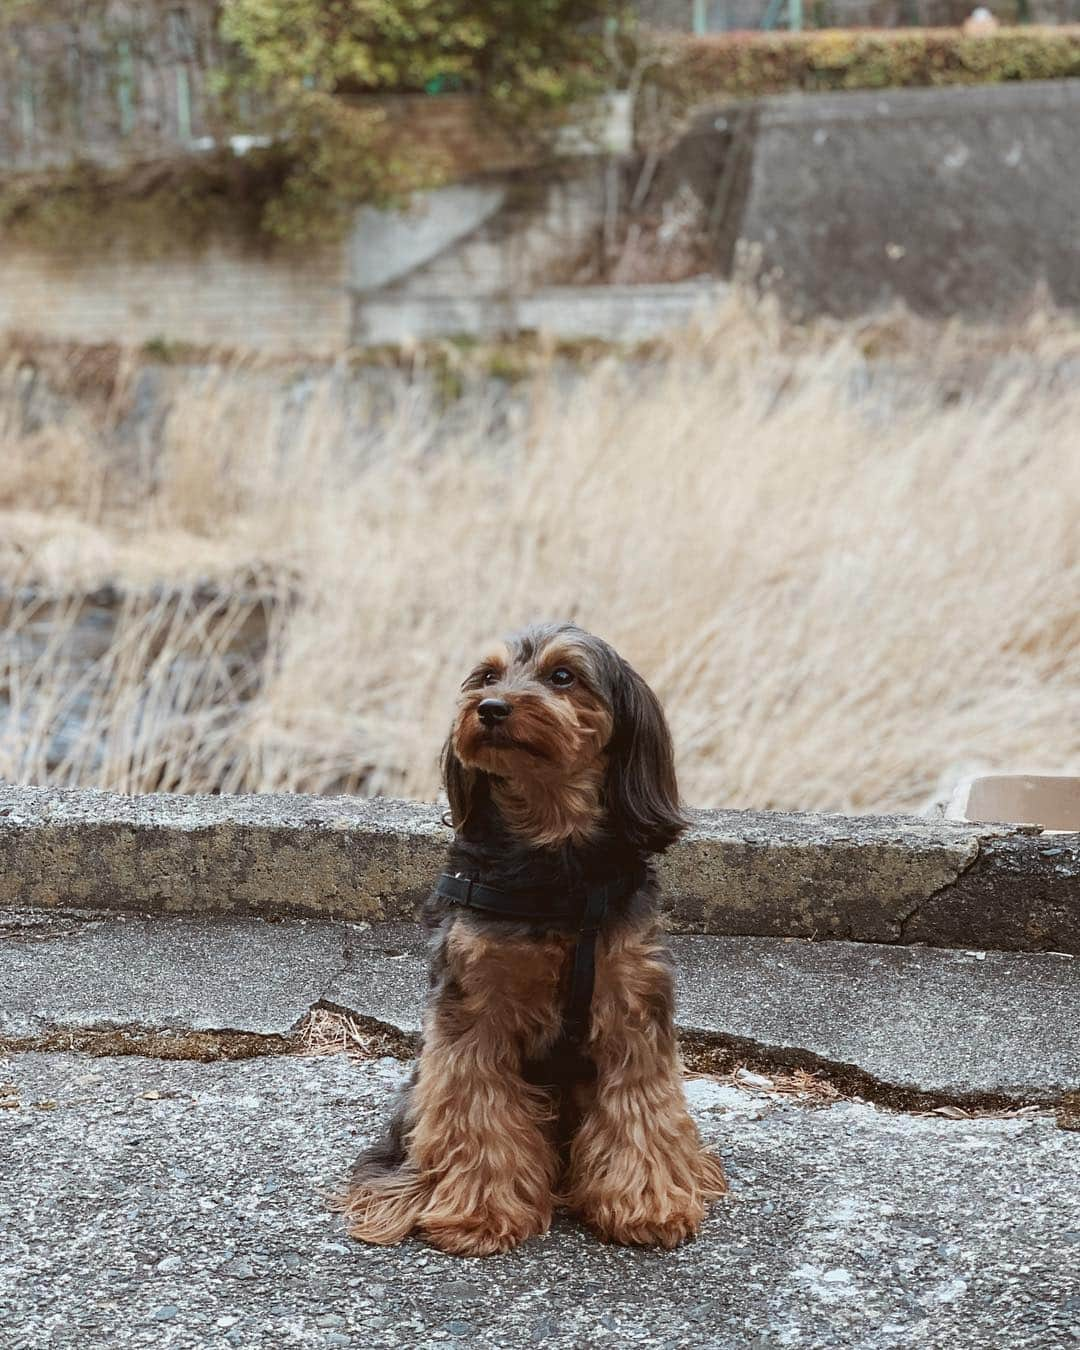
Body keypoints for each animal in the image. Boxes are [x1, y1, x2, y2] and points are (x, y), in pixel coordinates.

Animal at [337, 621, 723, 1252]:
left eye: (562, 675)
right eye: (487, 676)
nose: (490, 709)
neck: (554, 862)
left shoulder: (632, 1005)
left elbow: (639, 1106)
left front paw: (646, 1205)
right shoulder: (474, 1012)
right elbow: (477, 1110)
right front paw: (479, 1213)